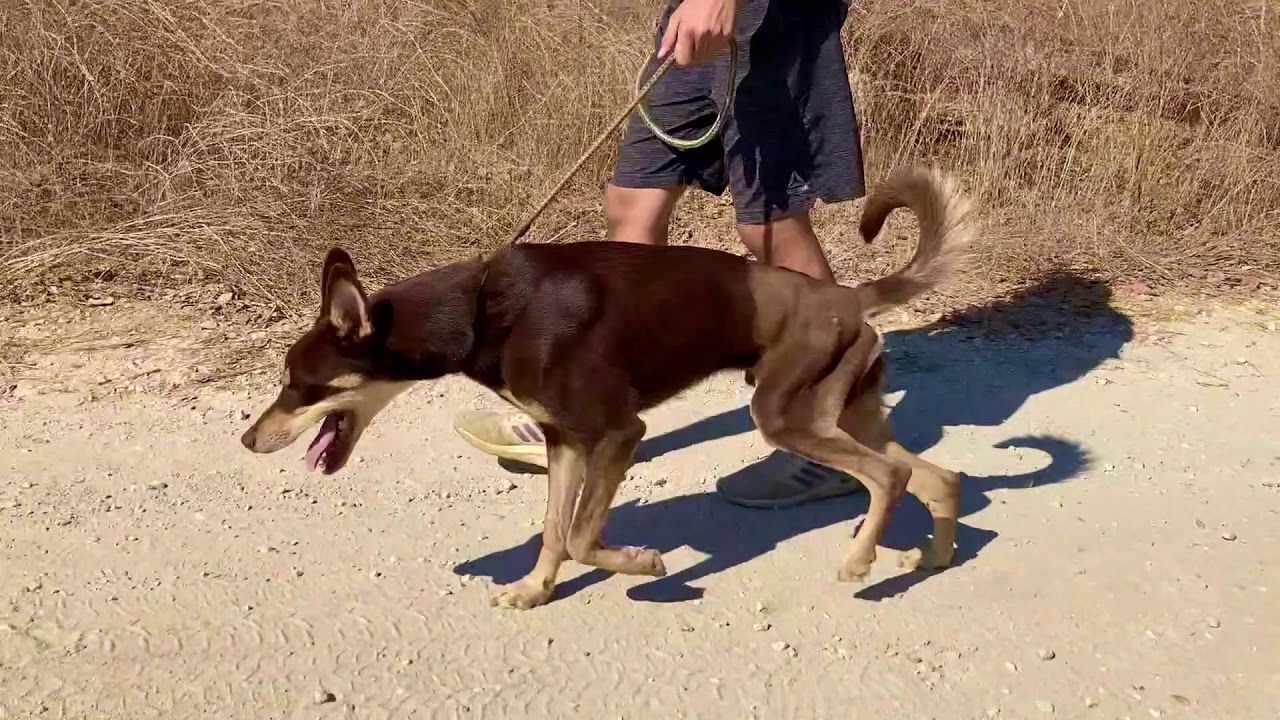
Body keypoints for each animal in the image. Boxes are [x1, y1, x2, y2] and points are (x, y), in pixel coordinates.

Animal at [241, 162, 977, 604]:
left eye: (300, 385)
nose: (248, 441)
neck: (480, 310)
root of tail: (849, 297)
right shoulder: (566, 439)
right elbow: (552, 530)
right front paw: (534, 590)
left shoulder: (621, 431)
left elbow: (579, 536)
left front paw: (644, 565)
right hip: (842, 412)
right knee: (938, 476)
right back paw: (934, 557)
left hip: (786, 414)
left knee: (891, 475)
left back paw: (859, 562)